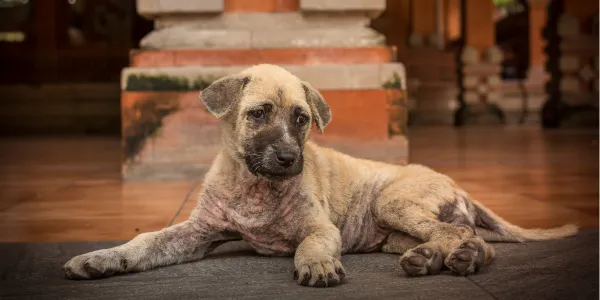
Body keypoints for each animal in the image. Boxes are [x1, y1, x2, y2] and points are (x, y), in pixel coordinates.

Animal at [63, 64, 580, 288]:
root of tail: (459, 186)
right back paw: (431, 259)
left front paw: (315, 265)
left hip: (392, 201)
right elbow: (146, 240)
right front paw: (103, 258)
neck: (255, 187)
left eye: (302, 119)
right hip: (391, 230)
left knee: (466, 236)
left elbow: (310, 245)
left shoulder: (320, 227)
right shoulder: (199, 231)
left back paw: (462, 258)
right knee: (453, 237)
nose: (290, 158)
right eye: (258, 114)